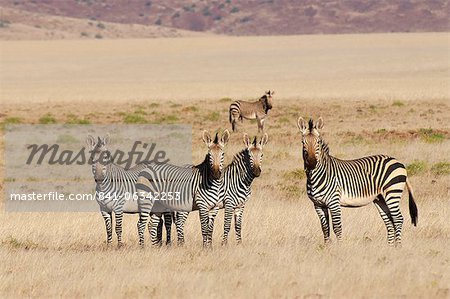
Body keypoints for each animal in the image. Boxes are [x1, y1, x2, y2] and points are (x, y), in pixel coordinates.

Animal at [296, 117, 418, 246]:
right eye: (303, 142)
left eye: (318, 142)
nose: (312, 163)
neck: (316, 176)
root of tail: (399, 162)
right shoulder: (318, 205)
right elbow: (325, 228)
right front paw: (326, 247)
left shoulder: (334, 203)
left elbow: (337, 228)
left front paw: (339, 247)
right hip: (380, 198)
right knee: (389, 220)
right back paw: (389, 247)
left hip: (392, 192)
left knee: (398, 219)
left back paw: (397, 247)